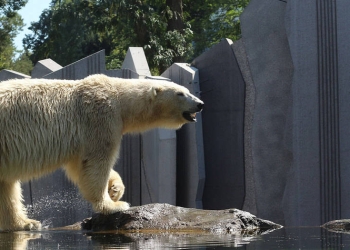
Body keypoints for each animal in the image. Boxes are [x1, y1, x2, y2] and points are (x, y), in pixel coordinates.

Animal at [0, 73, 202, 230]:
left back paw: (26, 223)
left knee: (7, 186)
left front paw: (115, 189)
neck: (120, 101)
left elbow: (79, 166)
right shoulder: (100, 119)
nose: (200, 104)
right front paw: (115, 205)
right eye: (180, 93)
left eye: (187, 90)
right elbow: (96, 163)